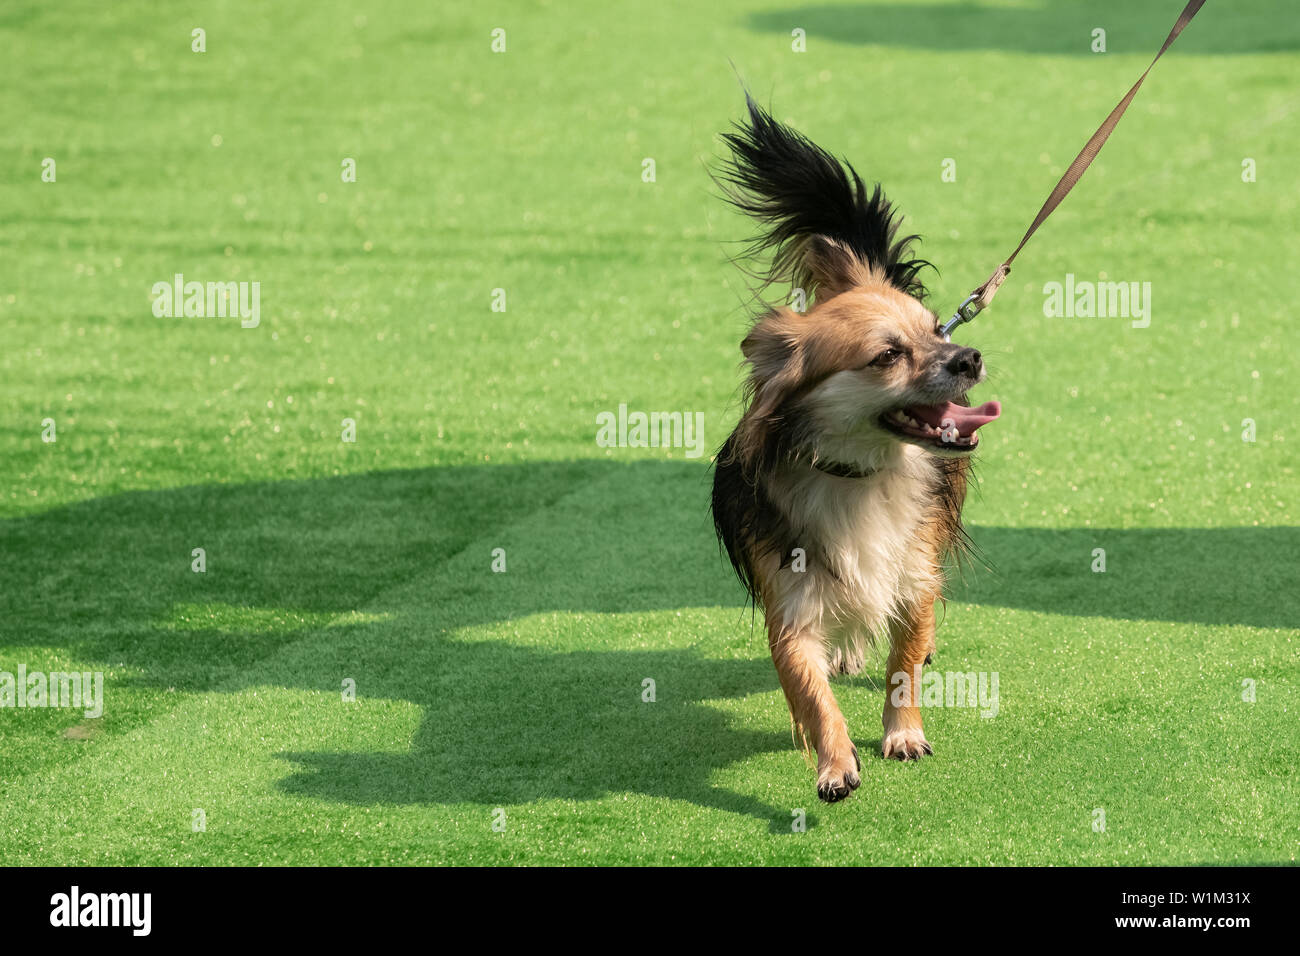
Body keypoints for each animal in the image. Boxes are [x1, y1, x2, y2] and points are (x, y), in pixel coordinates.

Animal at [712, 97, 1003, 801]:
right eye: (888, 356)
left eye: (935, 334)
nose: (969, 355)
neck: (859, 474)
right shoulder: (790, 608)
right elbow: (812, 692)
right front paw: (835, 760)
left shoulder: (912, 574)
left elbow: (903, 663)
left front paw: (902, 733)